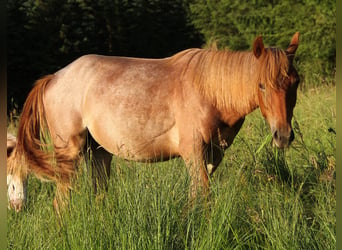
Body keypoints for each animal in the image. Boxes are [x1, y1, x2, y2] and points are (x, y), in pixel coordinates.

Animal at [6, 32, 300, 212]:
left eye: (295, 83)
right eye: (261, 85)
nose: (283, 136)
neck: (209, 91)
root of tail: (53, 78)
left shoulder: (213, 155)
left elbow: (196, 197)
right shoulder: (193, 152)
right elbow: (202, 197)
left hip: (99, 153)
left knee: (98, 195)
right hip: (69, 155)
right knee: (61, 203)